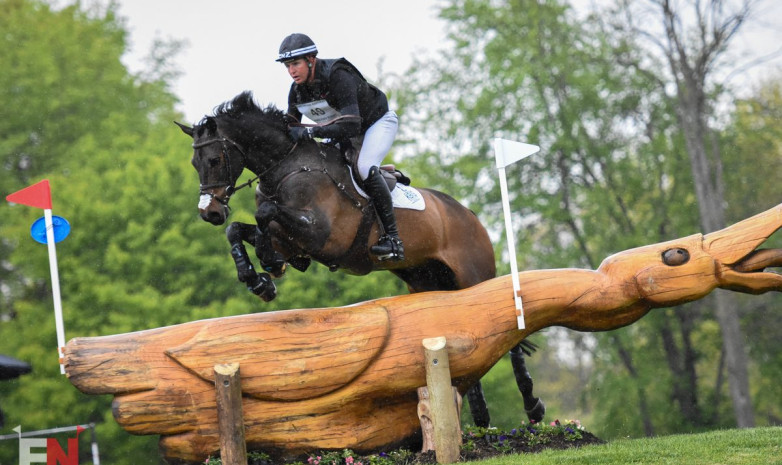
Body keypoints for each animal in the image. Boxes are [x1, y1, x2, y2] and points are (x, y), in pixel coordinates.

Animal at [176, 90, 544, 428]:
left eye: (214, 160)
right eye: (195, 163)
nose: (209, 213)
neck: (287, 166)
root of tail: (471, 216)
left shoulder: (322, 236)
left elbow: (265, 213)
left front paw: (268, 265)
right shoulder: (292, 239)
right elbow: (238, 230)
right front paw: (259, 279)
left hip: (474, 276)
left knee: (509, 333)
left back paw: (532, 406)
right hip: (427, 282)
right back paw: (481, 416)